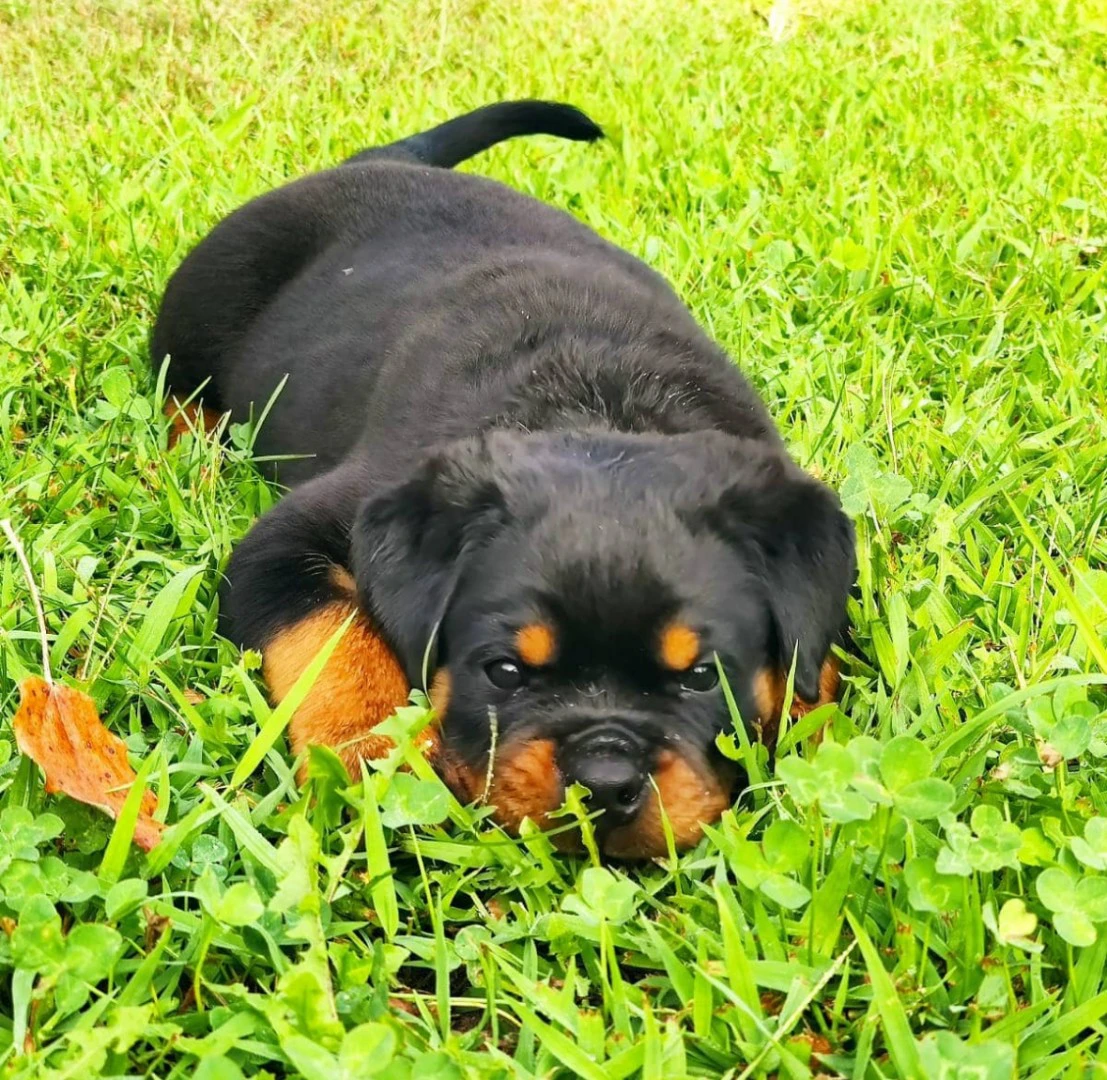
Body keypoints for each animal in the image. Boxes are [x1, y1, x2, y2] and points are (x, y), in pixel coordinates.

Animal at [149, 103, 854, 858]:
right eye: (505, 672)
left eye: (702, 677)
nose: (604, 781)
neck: (594, 408)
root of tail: (381, 162)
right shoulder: (293, 534)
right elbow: (333, 638)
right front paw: (378, 757)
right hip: (200, 309)